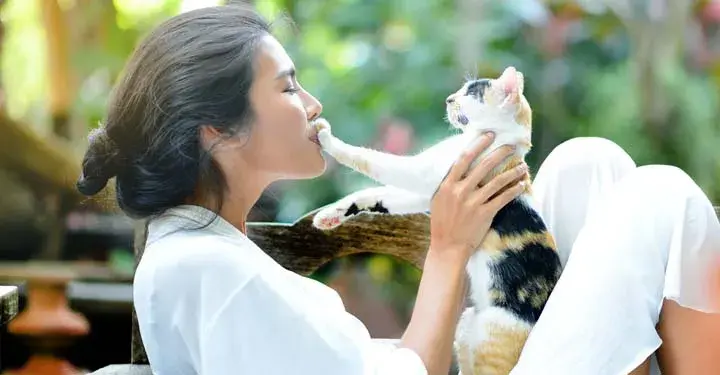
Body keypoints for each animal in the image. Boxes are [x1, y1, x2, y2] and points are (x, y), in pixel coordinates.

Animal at [312, 66, 564, 374]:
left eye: (471, 93)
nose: (449, 99)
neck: (497, 141)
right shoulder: (428, 194)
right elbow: (378, 195)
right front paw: (330, 215)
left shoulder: (422, 172)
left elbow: (370, 159)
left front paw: (326, 138)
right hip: (466, 325)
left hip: (490, 333)